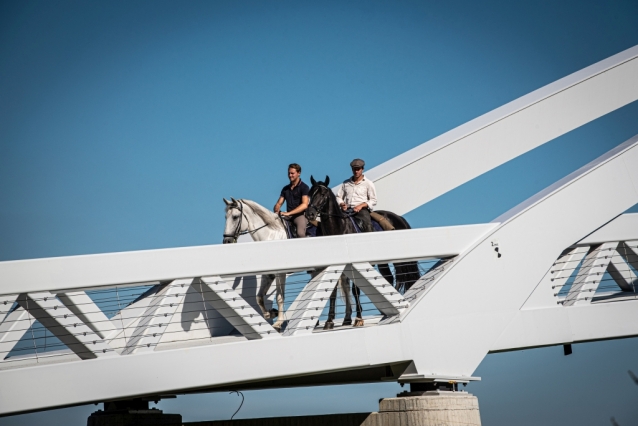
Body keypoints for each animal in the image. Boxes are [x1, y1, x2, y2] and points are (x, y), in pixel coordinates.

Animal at [219, 198, 350, 332]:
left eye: (235, 217)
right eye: (225, 217)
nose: (226, 241)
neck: (271, 236)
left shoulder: (280, 273)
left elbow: (279, 297)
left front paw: (278, 323)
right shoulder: (268, 275)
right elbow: (259, 297)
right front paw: (270, 313)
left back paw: (334, 321)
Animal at [306, 176, 422, 330]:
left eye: (323, 194)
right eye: (310, 193)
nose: (310, 213)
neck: (340, 229)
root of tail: (399, 218)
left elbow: (355, 290)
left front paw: (358, 318)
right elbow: (332, 292)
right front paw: (330, 321)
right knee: (390, 278)